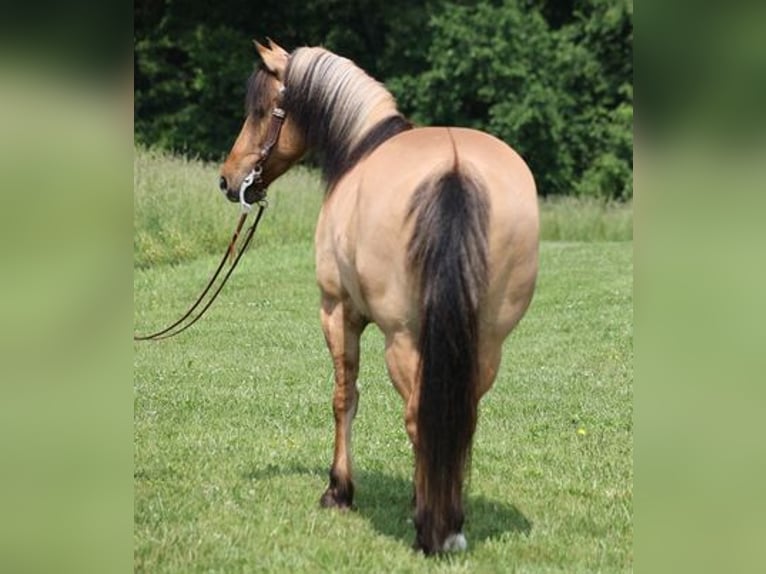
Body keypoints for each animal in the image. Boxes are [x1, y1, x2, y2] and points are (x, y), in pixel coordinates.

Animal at [218, 39, 540, 552]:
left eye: (261, 110)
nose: (230, 180)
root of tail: (454, 168)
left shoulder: (337, 312)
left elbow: (344, 397)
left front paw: (338, 490)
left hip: (402, 338)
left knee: (417, 416)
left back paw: (431, 527)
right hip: (487, 340)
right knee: (459, 418)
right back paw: (450, 520)